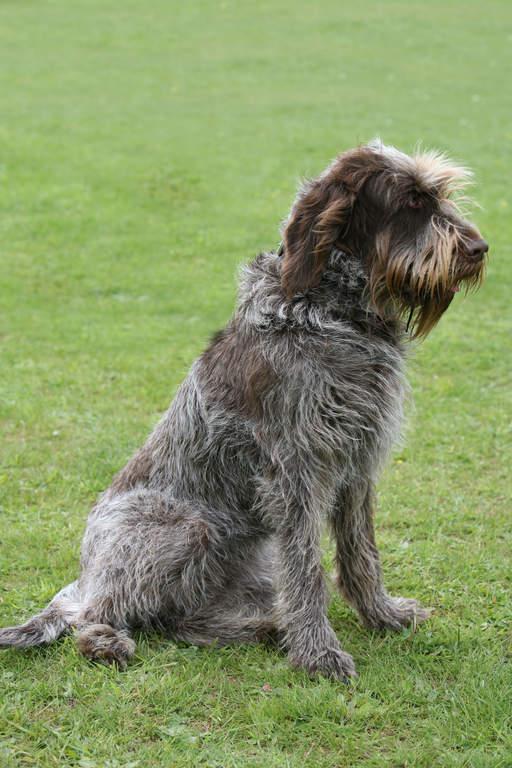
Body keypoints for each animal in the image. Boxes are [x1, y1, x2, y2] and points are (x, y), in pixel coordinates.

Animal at [0, 140, 488, 680]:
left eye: (438, 196)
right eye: (411, 202)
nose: (478, 249)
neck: (335, 310)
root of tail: (84, 577)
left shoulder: (358, 462)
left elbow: (362, 553)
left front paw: (383, 616)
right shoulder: (294, 471)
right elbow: (307, 569)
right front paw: (318, 654)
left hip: (251, 565)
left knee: (176, 619)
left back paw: (261, 627)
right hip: (187, 529)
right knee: (99, 613)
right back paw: (106, 641)